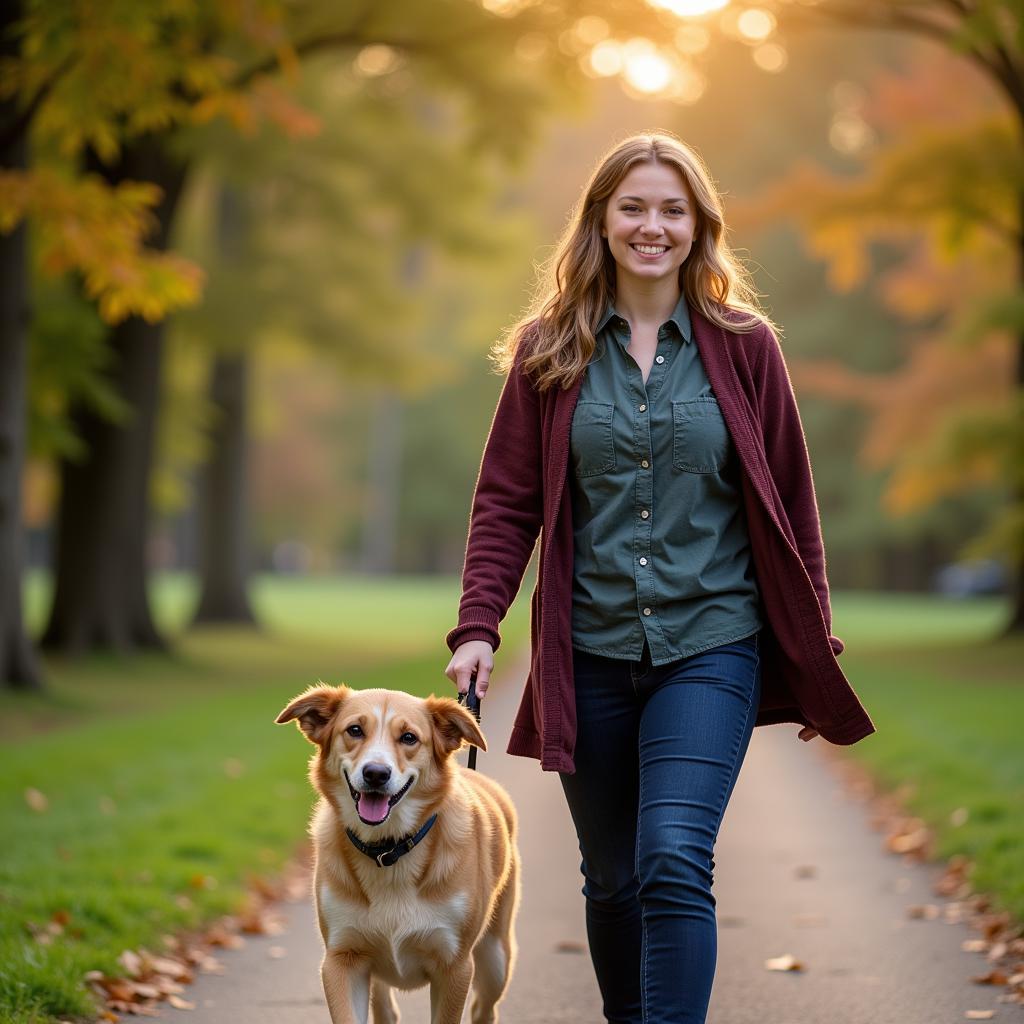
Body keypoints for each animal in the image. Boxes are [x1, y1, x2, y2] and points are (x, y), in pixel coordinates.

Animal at [276, 688, 520, 1024]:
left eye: (408, 737)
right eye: (355, 730)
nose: (376, 774)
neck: (388, 850)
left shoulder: (454, 966)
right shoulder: (342, 959)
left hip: (495, 958)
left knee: (485, 1008)